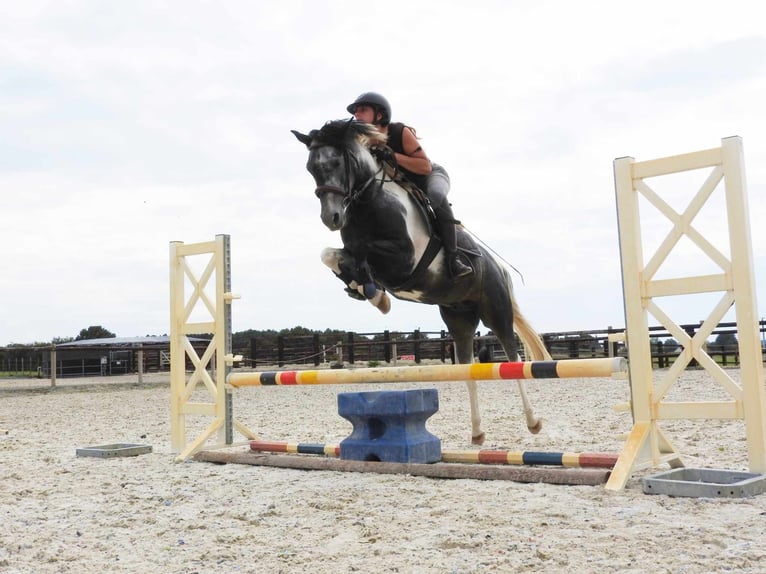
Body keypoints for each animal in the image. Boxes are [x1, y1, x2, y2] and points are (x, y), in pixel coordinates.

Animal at [290, 118, 552, 446]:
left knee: (512, 359)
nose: (331, 217)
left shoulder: (404, 259)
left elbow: (363, 252)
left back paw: (533, 422)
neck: (369, 201)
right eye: (310, 167)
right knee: (467, 366)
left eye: (337, 162)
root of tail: (498, 267)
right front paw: (365, 289)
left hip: (496, 312)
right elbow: (331, 255)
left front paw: (375, 293)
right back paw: (477, 432)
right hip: (459, 318)